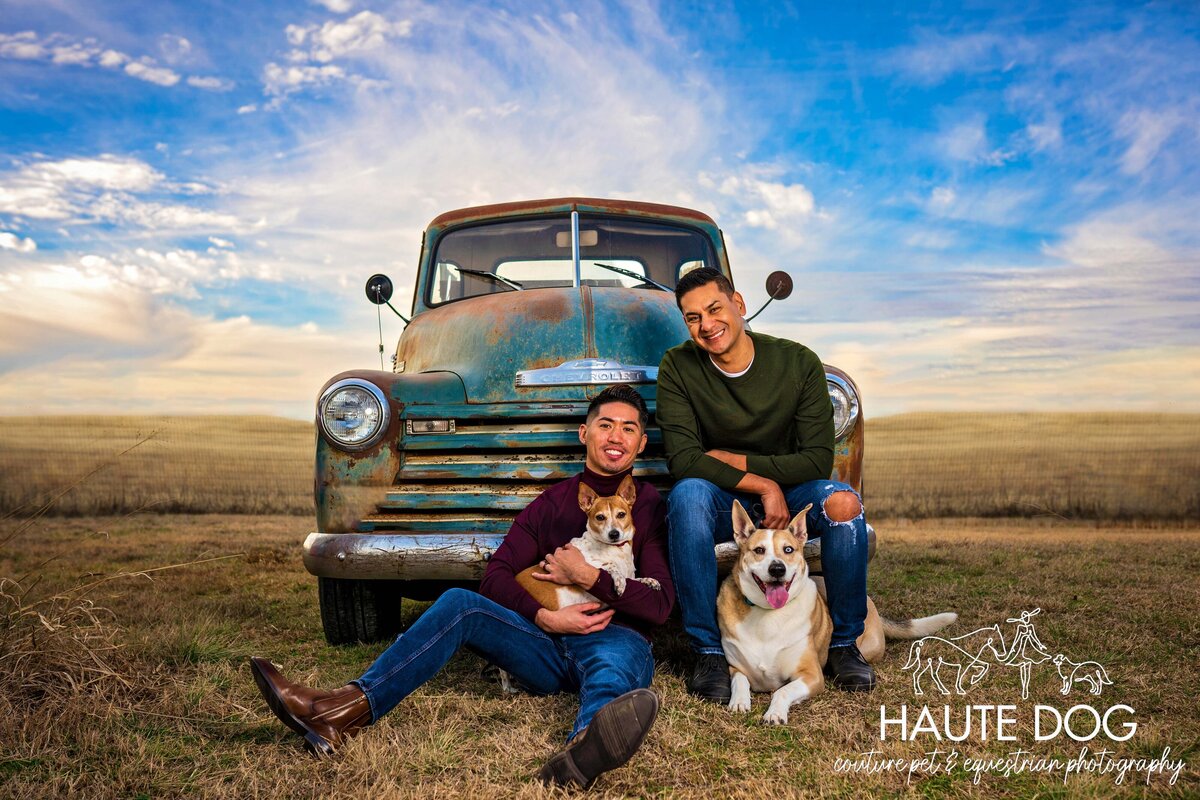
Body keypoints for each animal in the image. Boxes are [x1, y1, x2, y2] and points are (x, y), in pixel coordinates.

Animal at [710, 506, 955, 724]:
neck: (769, 613)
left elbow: (782, 691)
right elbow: (740, 681)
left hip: (868, 647)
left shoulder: (811, 676)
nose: (777, 569)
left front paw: (775, 714)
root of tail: (869, 602)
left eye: (788, 550)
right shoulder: (735, 668)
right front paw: (739, 702)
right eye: (759, 550)